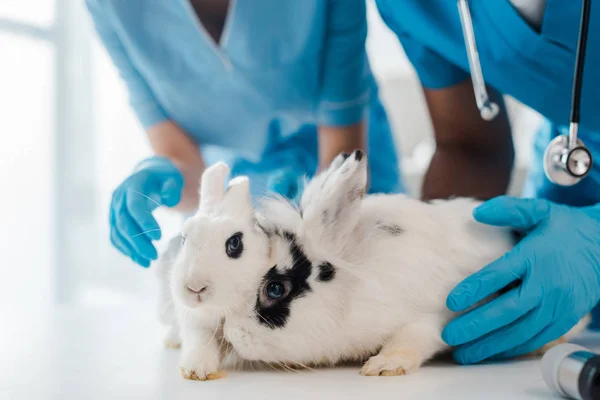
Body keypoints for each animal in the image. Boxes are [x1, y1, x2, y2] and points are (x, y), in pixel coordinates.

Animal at [157, 151, 588, 382]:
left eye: (276, 289)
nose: (232, 334)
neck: (352, 288)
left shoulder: (429, 318)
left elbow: (414, 338)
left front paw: (382, 367)